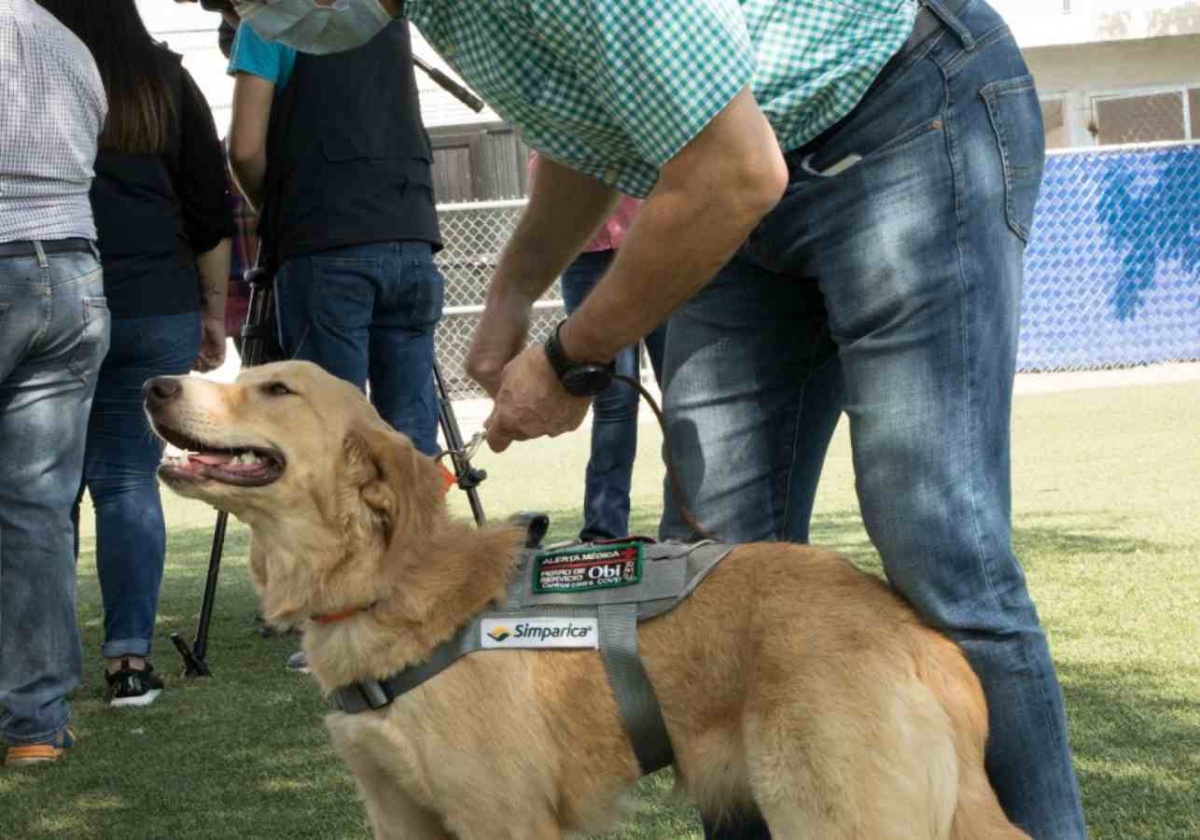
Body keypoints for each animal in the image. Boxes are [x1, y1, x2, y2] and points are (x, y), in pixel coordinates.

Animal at [145, 360, 1027, 840]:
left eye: (275, 387)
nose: (153, 383)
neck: (383, 589)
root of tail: (914, 630)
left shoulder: (503, 820)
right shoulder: (398, 816)